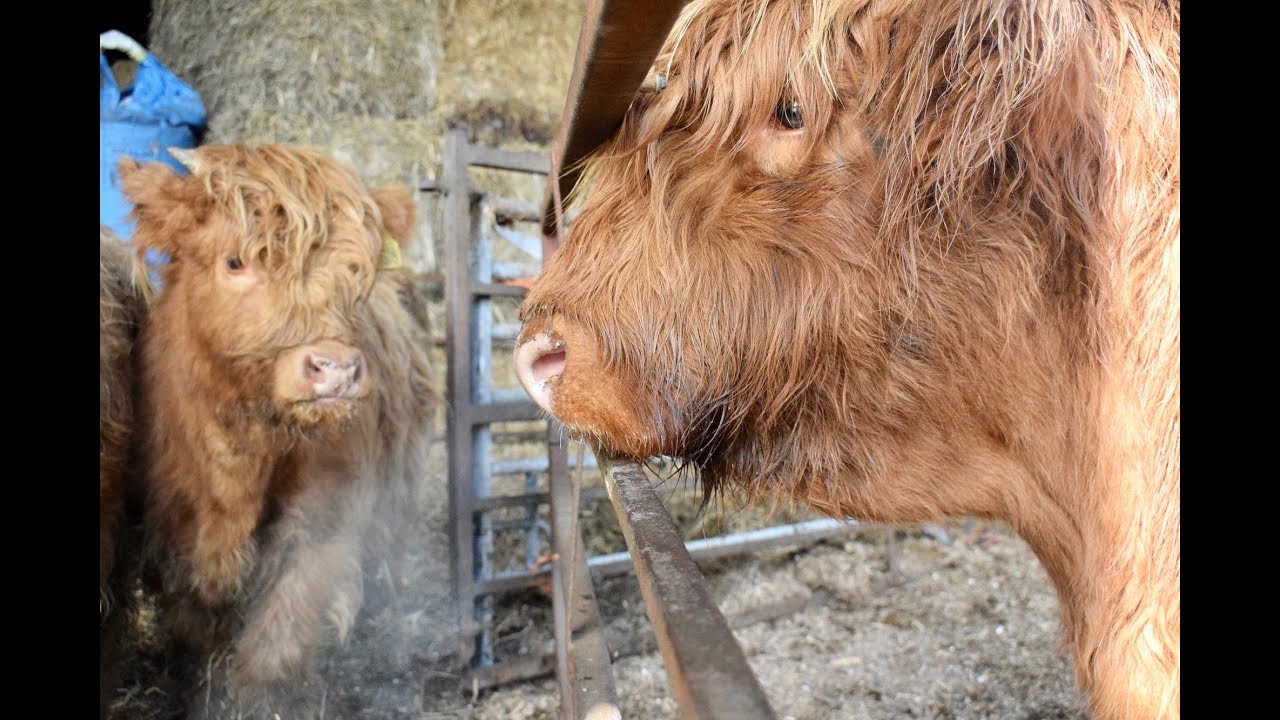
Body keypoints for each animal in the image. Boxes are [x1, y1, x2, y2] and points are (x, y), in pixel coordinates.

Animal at [118, 143, 436, 717]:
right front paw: (198, 693)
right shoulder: (172, 539)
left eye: (356, 270)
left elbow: (273, 650)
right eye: (235, 261)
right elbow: (198, 635)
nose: (336, 369)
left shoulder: (324, 524)